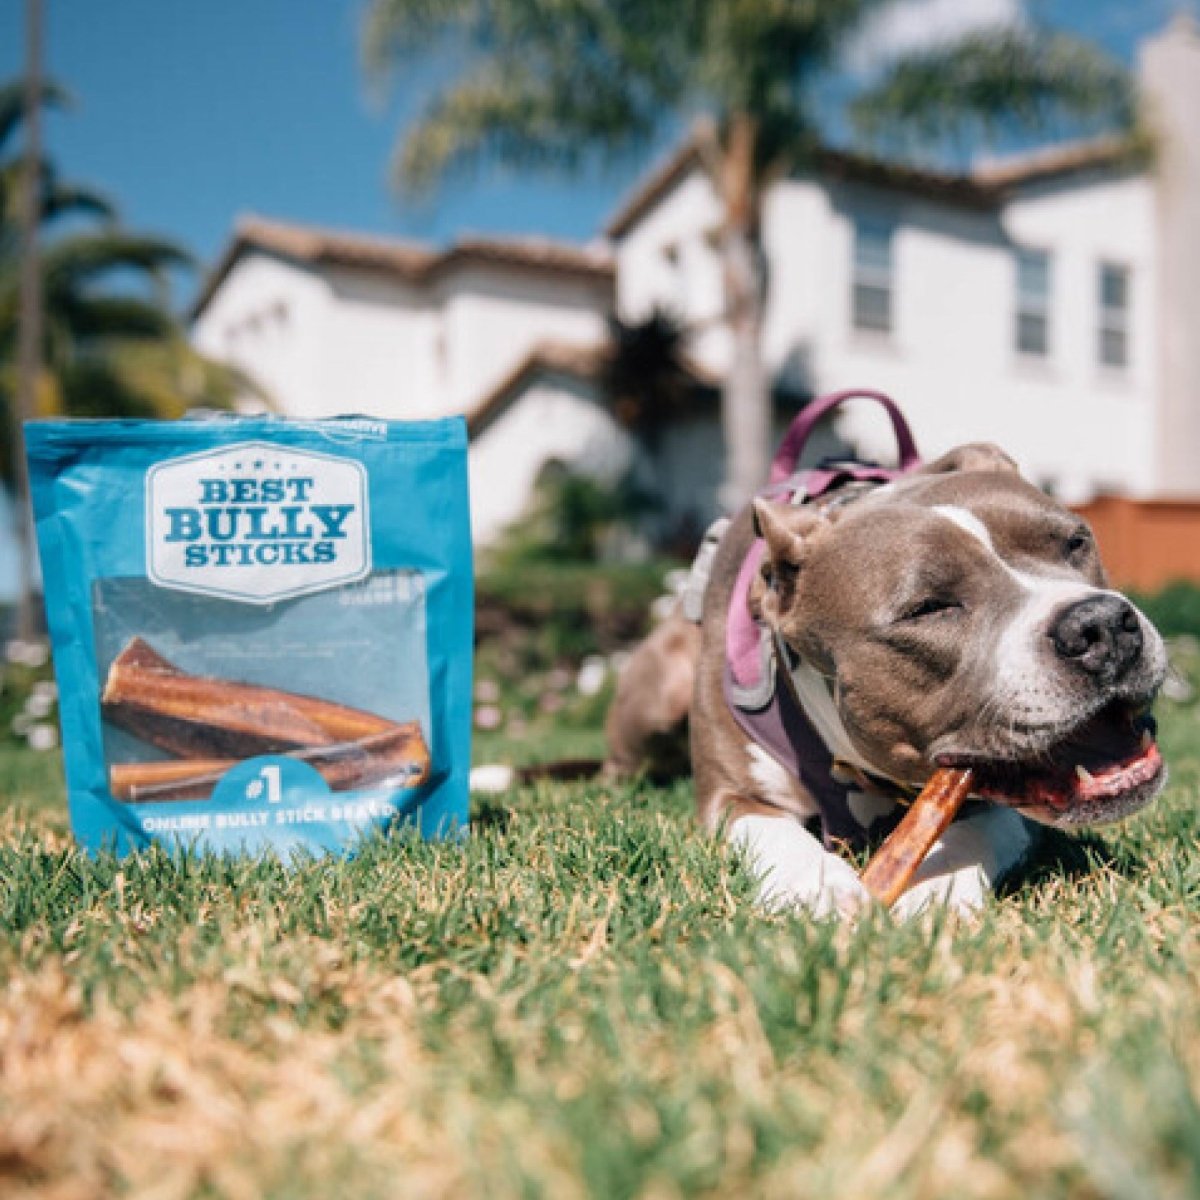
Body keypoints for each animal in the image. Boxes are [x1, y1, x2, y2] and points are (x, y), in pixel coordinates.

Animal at [604, 417, 1166, 912]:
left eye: (1076, 542)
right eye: (930, 607)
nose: (1101, 626)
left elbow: (976, 832)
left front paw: (933, 891)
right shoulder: (729, 795)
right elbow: (774, 833)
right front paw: (819, 889)